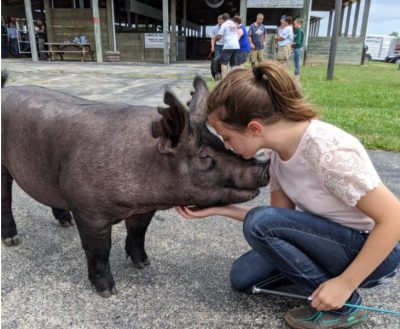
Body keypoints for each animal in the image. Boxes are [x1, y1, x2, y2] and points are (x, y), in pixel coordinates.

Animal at [1, 72, 268, 298]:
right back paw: (12, 240)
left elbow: (138, 233)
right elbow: (99, 250)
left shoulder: (144, 209)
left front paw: (143, 264)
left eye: (219, 142)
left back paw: (66, 223)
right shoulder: (88, 211)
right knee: (6, 199)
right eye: (204, 158)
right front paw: (108, 292)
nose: (264, 166)